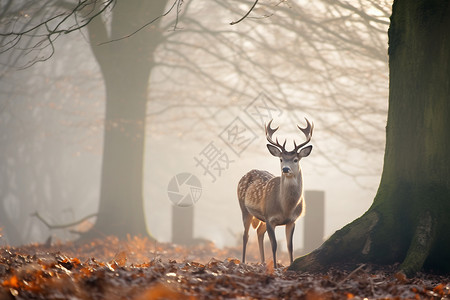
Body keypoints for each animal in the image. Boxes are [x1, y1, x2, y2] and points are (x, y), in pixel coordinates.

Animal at [239, 118, 312, 268]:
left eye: (295, 159)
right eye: (281, 159)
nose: (285, 169)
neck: (285, 208)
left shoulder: (292, 220)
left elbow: (290, 246)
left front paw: (290, 265)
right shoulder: (270, 217)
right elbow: (274, 245)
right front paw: (275, 267)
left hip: (260, 217)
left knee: (259, 233)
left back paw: (262, 262)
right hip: (244, 207)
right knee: (245, 235)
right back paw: (242, 262)